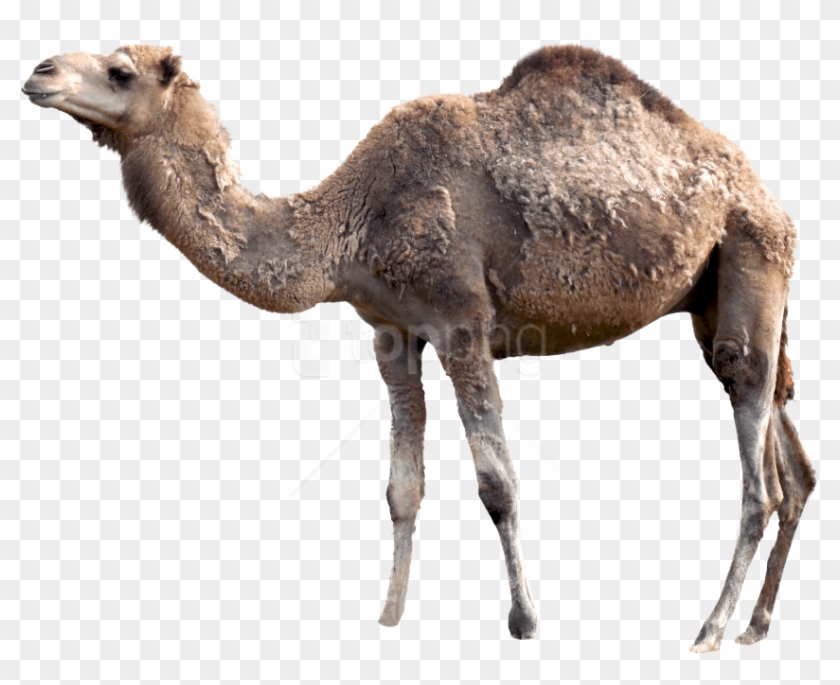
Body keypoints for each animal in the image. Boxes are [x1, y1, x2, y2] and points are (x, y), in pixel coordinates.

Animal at [22, 44, 816, 650]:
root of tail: (767, 197)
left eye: (120, 71)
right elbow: (402, 487)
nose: (38, 72)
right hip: (717, 296)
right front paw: (389, 616)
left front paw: (525, 620)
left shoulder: (462, 321)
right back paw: (756, 626)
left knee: (760, 471)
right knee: (790, 455)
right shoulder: (391, 332)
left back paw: (709, 630)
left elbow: (497, 484)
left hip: (749, 251)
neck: (348, 222)